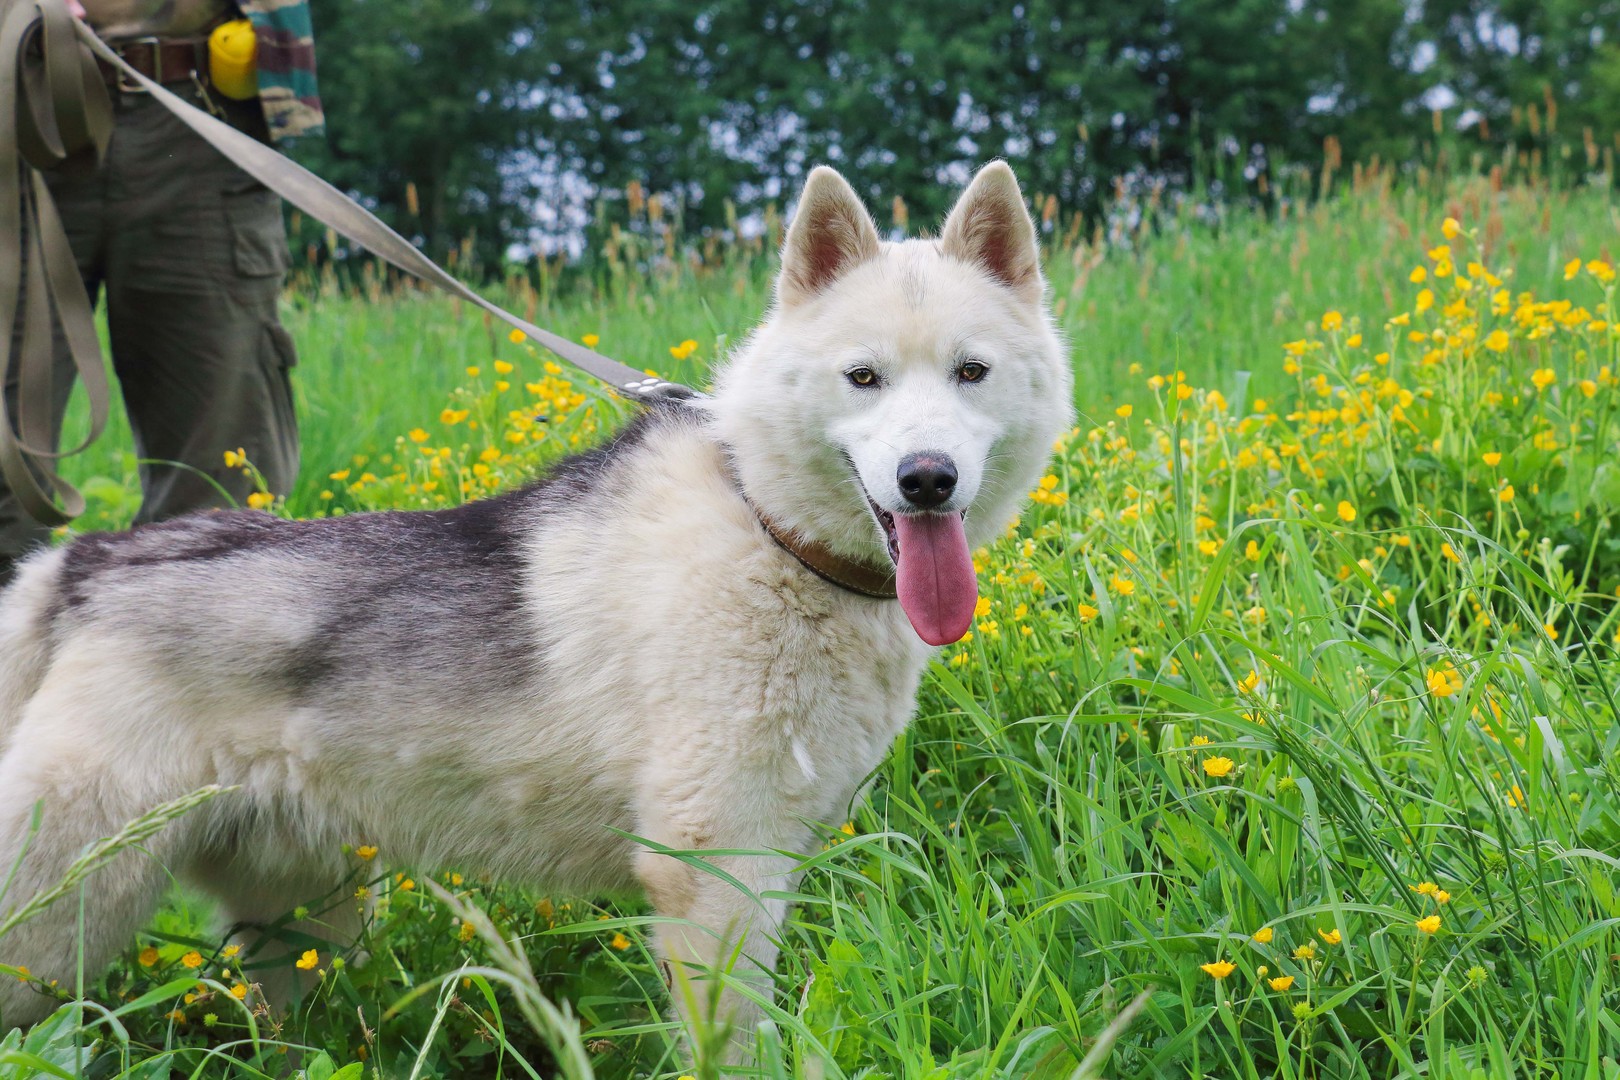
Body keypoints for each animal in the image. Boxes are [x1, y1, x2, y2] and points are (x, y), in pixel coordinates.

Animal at [0, 162, 1075, 1055]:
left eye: (970, 372)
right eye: (863, 377)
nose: (927, 479)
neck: (768, 533)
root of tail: (90, 559)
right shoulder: (712, 875)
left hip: (303, 924)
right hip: (58, 915)